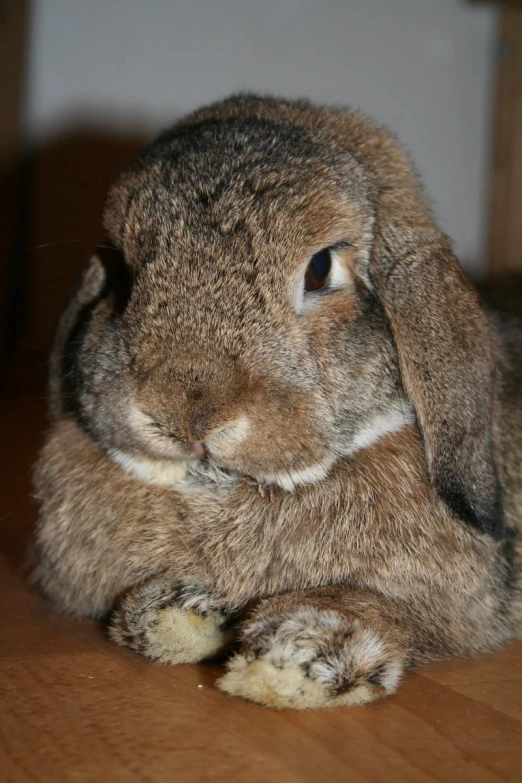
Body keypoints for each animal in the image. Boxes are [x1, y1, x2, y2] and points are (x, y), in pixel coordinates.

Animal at [33, 93, 520, 712]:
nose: (186, 413)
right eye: (120, 267)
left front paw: (301, 654)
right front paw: (176, 612)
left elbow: (399, 616)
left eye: (320, 268)